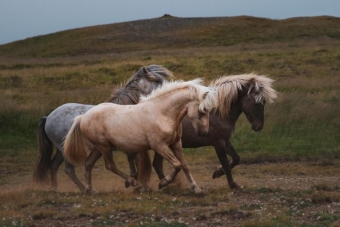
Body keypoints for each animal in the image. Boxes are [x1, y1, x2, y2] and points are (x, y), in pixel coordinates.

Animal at [33, 64, 174, 192]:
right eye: (158, 81)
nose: (171, 88)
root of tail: (48, 117)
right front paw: (138, 185)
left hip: (61, 151)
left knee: (53, 166)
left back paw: (55, 189)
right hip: (65, 151)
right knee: (69, 170)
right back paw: (84, 189)